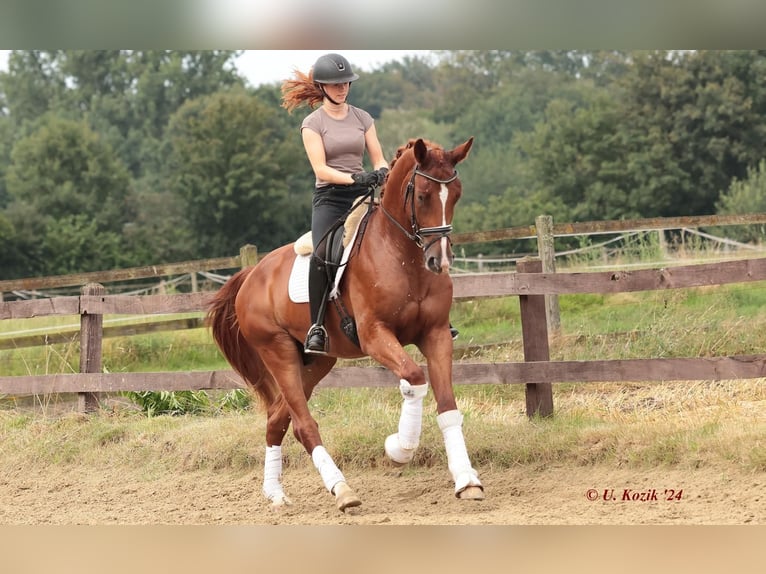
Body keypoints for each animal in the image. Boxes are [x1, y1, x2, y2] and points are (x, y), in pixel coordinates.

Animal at [208, 138, 486, 512]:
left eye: (456, 194)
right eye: (423, 195)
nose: (438, 262)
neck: (402, 257)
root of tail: (253, 274)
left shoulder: (437, 334)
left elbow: (448, 408)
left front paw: (467, 481)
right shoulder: (374, 335)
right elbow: (414, 378)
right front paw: (399, 448)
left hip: (316, 362)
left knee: (278, 420)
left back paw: (276, 494)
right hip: (277, 351)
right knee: (303, 424)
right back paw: (342, 490)